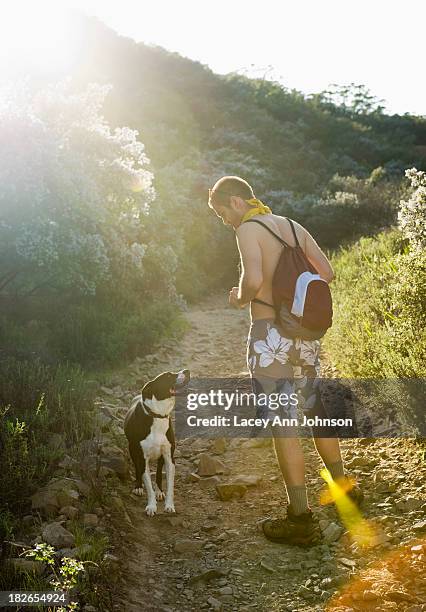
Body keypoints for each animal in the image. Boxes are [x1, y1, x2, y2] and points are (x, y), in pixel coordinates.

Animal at [123, 370, 190, 512]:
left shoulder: (170, 457)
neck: (158, 415)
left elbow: (170, 485)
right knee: (138, 469)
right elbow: (148, 484)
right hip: (132, 450)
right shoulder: (142, 458)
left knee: (159, 472)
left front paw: (169, 505)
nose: (187, 371)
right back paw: (138, 486)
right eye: (168, 375)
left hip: (161, 456)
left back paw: (159, 491)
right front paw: (151, 506)